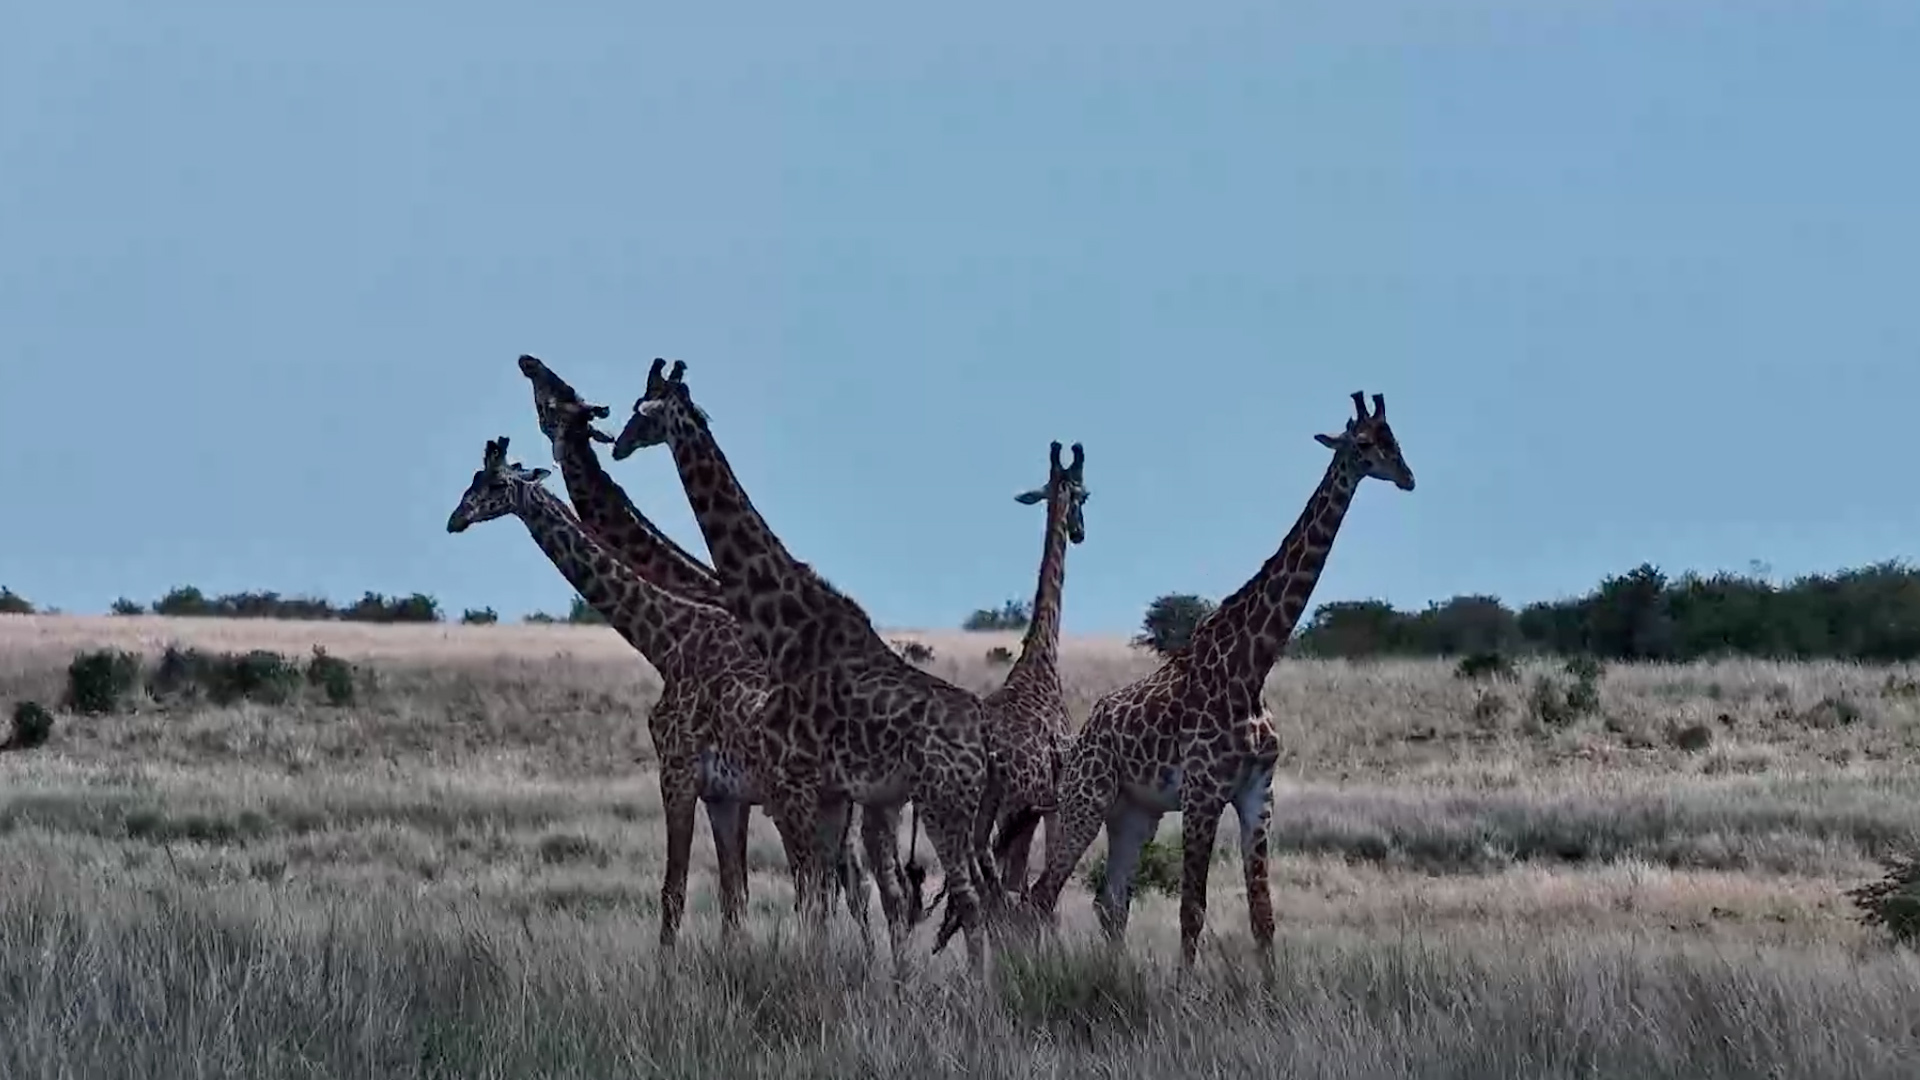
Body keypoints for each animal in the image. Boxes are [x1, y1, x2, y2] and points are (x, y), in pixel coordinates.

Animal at [447, 435, 801, 947]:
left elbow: (674, 891)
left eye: (496, 483)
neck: (667, 640)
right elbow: (733, 896)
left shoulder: (677, 774)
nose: (456, 518)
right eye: (473, 478)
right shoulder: (723, 794)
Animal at [609, 358, 999, 973]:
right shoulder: (827, 793)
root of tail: (982, 737)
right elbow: (824, 897)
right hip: (941, 805)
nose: (618, 445)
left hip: (944, 805)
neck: (787, 631)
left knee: (968, 900)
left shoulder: (797, 785)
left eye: (640, 412)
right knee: (959, 897)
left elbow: (817, 898)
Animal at [1021, 391, 1415, 970]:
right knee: (1040, 896)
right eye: (1364, 443)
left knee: (1110, 901)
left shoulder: (1257, 792)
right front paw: (1184, 991)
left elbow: (1263, 916)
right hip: (1085, 798)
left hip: (1134, 814)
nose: (1407, 477)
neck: (1252, 668)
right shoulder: (1203, 790)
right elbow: (1192, 910)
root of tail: (1082, 735)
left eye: (1395, 439)